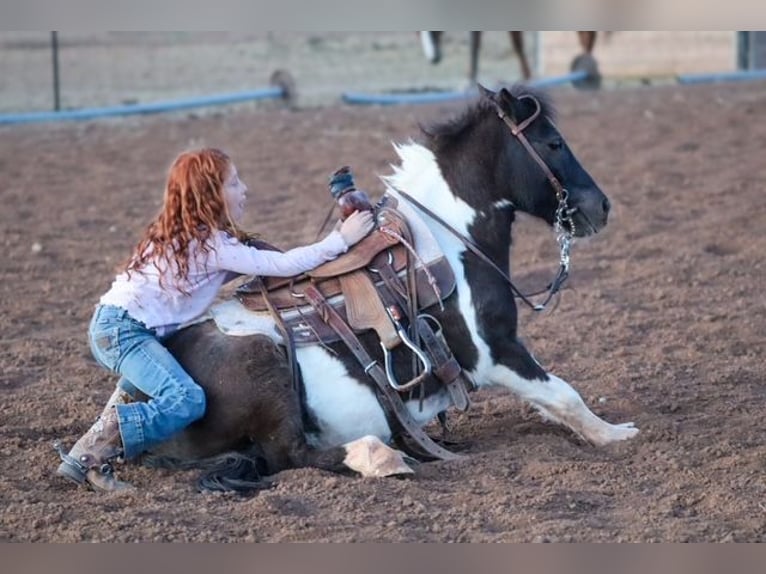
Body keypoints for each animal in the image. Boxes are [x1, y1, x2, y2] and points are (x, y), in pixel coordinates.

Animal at [139, 83, 638, 493]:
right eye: (553, 143)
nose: (602, 206)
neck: (448, 243)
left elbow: (552, 399)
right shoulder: (493, 351)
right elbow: (563, 393)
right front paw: (616, 434)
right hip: (263, 365)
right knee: (291, 454)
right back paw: (379, 455)